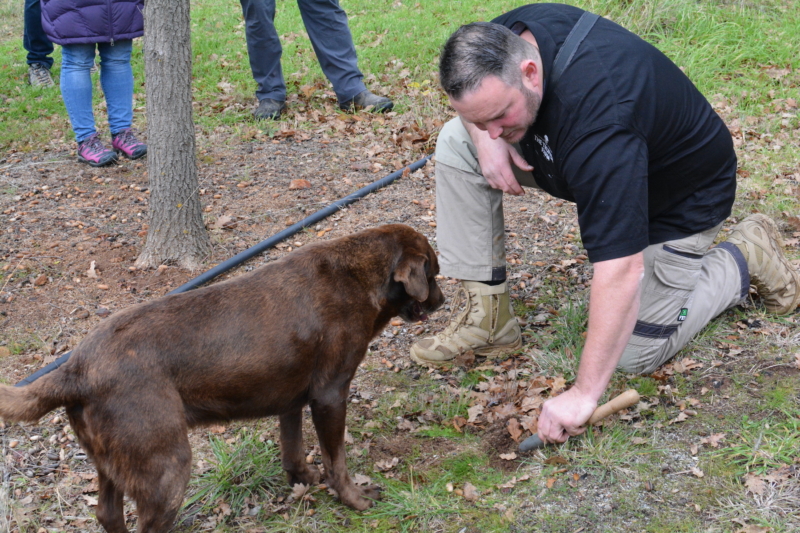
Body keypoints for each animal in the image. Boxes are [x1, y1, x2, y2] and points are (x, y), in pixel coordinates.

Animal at [0, 223, 444, 532]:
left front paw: (303, 479)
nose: (441, 300)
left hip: (112, 462)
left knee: (108, 514)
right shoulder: (330, 395)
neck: (359, 275)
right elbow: (337, 462)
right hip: (166, 466)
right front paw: (355, 499)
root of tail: (74, 368)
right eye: (434, 273)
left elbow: (293, 448)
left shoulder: (291, 398)